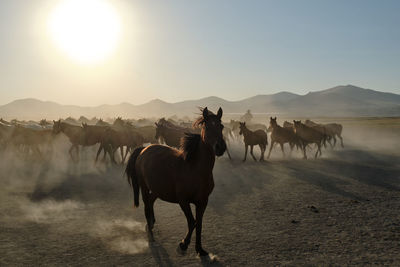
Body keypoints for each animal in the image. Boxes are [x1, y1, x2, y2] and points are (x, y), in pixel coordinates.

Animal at [126, 108, 225, 258]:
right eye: (207, 127)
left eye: (221, 126)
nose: (220, 147)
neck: (195, 169)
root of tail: (143, 150)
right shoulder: (183, 201)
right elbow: (192, 222)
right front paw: (183, 245)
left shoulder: (203, 202)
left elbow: (199, 224)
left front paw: (200, 249)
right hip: (144, 186)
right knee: (146, 205)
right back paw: (151, 233)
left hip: (158, 189)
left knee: (151, 201)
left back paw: (152, 223)